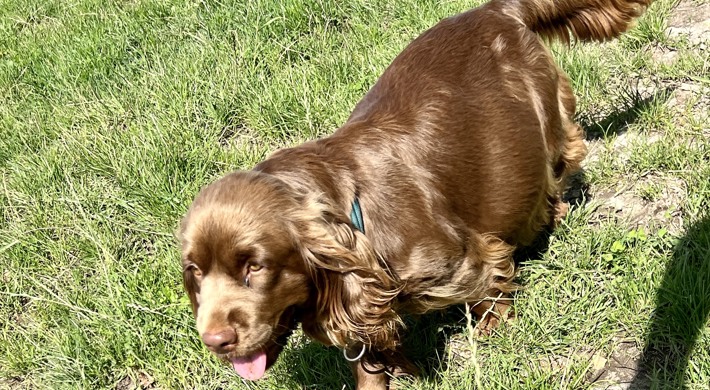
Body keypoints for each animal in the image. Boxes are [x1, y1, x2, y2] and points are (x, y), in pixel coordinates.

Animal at [177, 1, 652, 388]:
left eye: (255, 267)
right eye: (195, 272)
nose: (214, 340)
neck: (357, 221)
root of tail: (496, 8)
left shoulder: (469, 258)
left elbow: (492, 292)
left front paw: (495, 331)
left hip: (547, 124)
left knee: (562, 160)